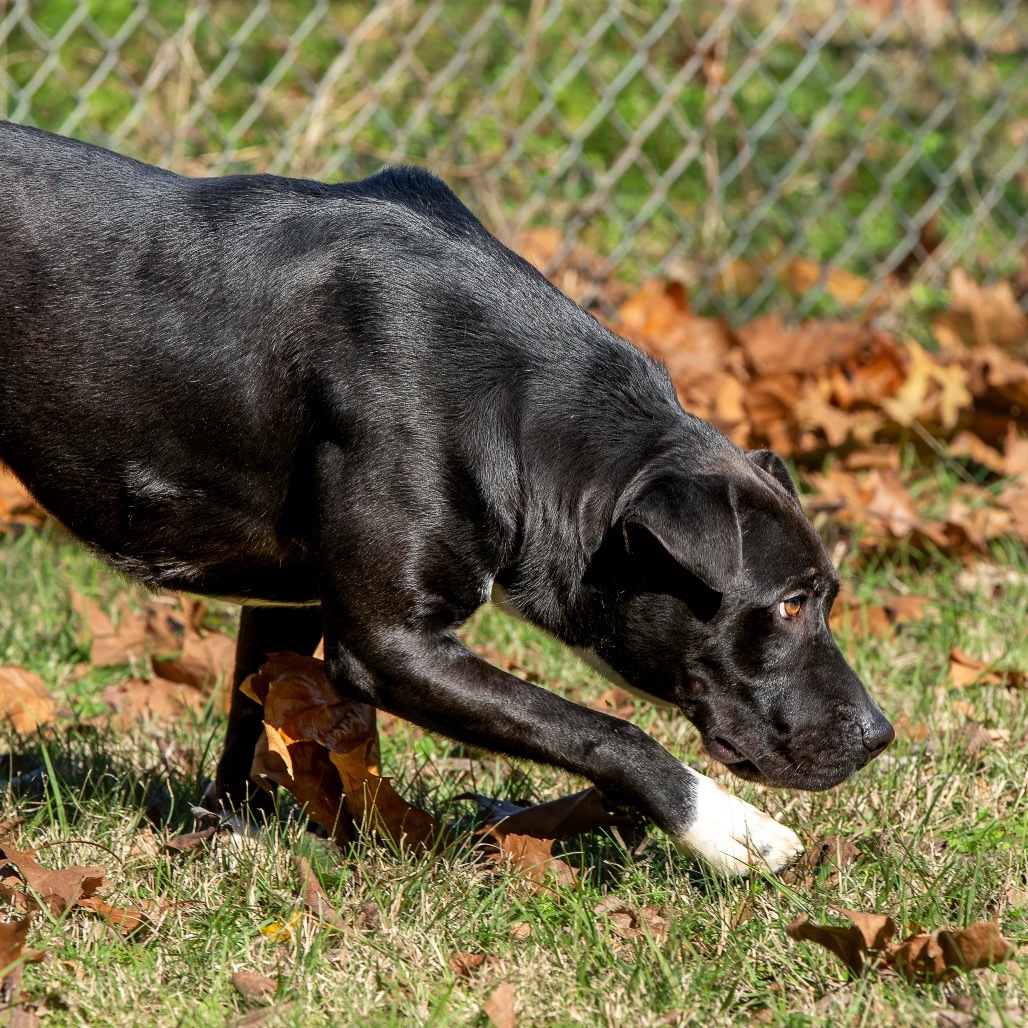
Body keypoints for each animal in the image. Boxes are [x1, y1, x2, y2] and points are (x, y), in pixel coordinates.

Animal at [0, 122, 892, 875]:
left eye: (829, 598)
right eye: (788, 605)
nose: (880, 736)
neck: (525, 417)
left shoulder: (295, 601)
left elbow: (250, 719)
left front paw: (229, 836)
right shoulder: (391, 644)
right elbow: (604, 729)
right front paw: (730, 830)